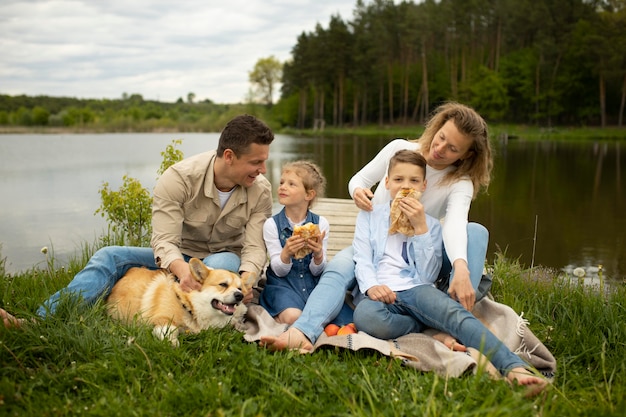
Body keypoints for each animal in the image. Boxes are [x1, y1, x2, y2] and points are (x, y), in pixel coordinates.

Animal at [106, 256, 249, 344]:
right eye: (223, 284)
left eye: (240, 288)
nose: (239, 296)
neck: (189, 304)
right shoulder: (161, 319)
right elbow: (170, 331)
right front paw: (173, 344)